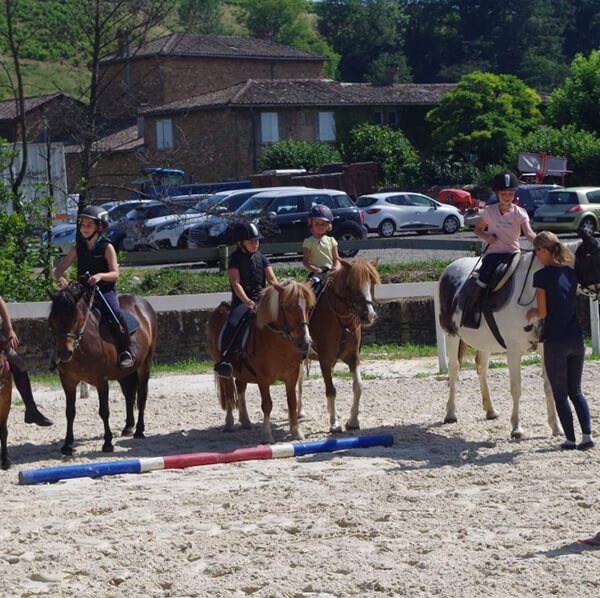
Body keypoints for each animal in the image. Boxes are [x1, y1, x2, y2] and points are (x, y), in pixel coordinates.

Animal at [48, 288, 157, 458]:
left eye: (77, 319)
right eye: (51, 320)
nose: (65, 353)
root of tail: (143, 302)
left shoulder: (101, 381)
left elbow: (104, 411)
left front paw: (107, 443)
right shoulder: (68, 381)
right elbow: (70, 412)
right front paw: (67, 445)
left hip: (144, 365)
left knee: (142, 396)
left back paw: (139, 430)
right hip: (124, 373)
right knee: (129, 394)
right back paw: (128, 427)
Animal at [207, 282, 314, 446]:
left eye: (308, 308)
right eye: (288, 308)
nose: (305, 343)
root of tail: (220, 308)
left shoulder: (292, 376)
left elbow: (292, 402)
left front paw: (296, 432)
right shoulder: (263, 379)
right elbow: (267, 405)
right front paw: (267, 435)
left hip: (242, 371)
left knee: (240, 388)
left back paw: (245, 420)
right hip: (224, 370)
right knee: (230, 393)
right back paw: (229, 423)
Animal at [298, 260, 380, 434]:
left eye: (372, 283)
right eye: (352, 285)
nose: (369, 316)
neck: (341, 321)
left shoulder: (353, 358)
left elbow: (358, 386)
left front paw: (353, 421)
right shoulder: (325, 359)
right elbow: (330, 390)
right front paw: (334, 423)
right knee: (299, 379)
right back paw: (300, 411)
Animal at [436, 234, 600, 440]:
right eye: (596, 258)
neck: (534, 292)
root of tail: (449, 268)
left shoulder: (546, 349)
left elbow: (549, 386)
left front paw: (555, 427)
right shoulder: (513, 352)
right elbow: (516, 388)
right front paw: (516, 428)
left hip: (485, 341)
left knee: (481, 367)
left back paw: (490, 410)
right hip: (450, 334)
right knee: (454, 369)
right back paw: (450, 413)